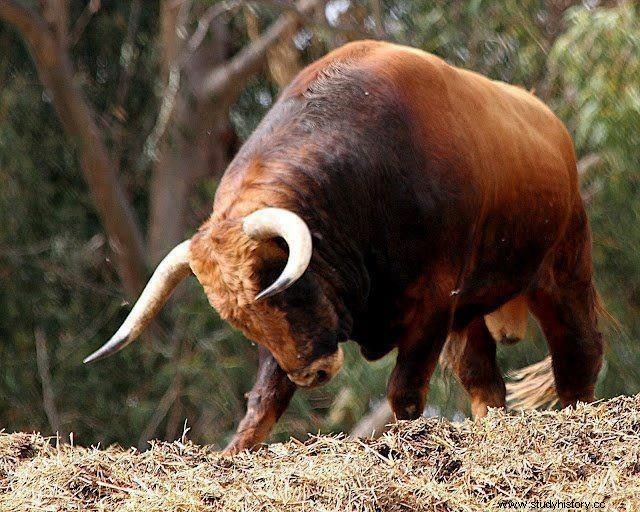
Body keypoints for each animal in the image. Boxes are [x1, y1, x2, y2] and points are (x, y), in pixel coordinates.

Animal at [86, 42, 604, 454]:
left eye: (281, 289)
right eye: (241, 321)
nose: (310, 375)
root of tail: (551, 126)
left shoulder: (434, 304)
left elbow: (404, 392)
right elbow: (263, 400)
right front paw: (234, 452)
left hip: (563, 271)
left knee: (579, 355)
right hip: (474, 311)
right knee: (484, 380)